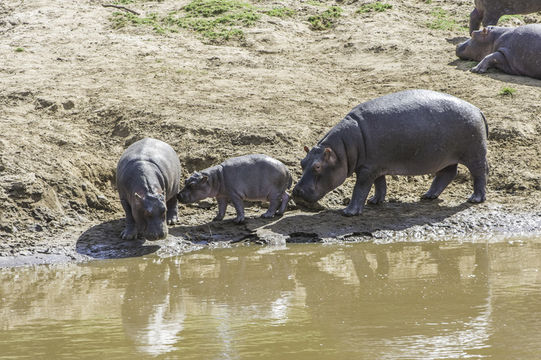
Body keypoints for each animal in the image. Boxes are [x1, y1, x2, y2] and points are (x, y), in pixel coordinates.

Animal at [292, 89, 490, 217]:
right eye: (302, 162)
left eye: (317, 166)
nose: (296, 191)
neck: (342, 149)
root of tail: (478, 110)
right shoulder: (376, 166)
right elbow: (380, 184)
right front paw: (375, 201)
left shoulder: (367, 169)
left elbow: (360, 188)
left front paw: (349, 212)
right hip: (445, 157)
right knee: (447, 173)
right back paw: (428, 195)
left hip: (474, 154)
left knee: (479, 173)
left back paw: (475, 199)